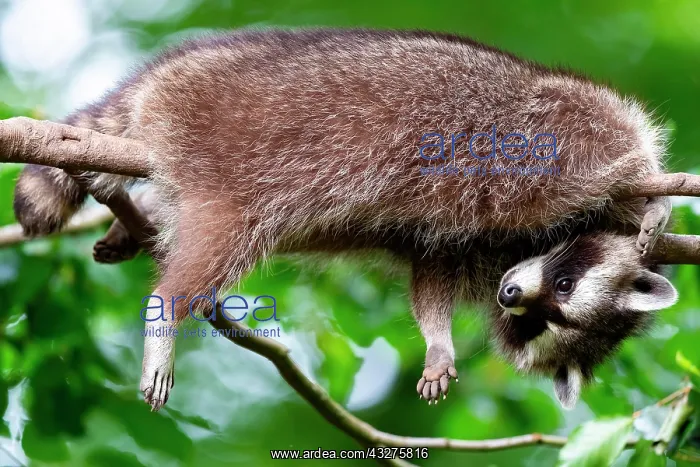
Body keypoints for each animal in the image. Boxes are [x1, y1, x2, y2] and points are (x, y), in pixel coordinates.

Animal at [12, 28, 677, 410]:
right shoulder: (566, 141)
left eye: (541, 322)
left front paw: (438, 342)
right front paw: (653, 197)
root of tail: (176, 71)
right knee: (219, 240)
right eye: (561, 288)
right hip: (241, 145)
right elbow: (625, 151)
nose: (512, 295)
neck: (534, 249)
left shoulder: (478, 251)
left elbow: (430, 271)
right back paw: (166, 312)